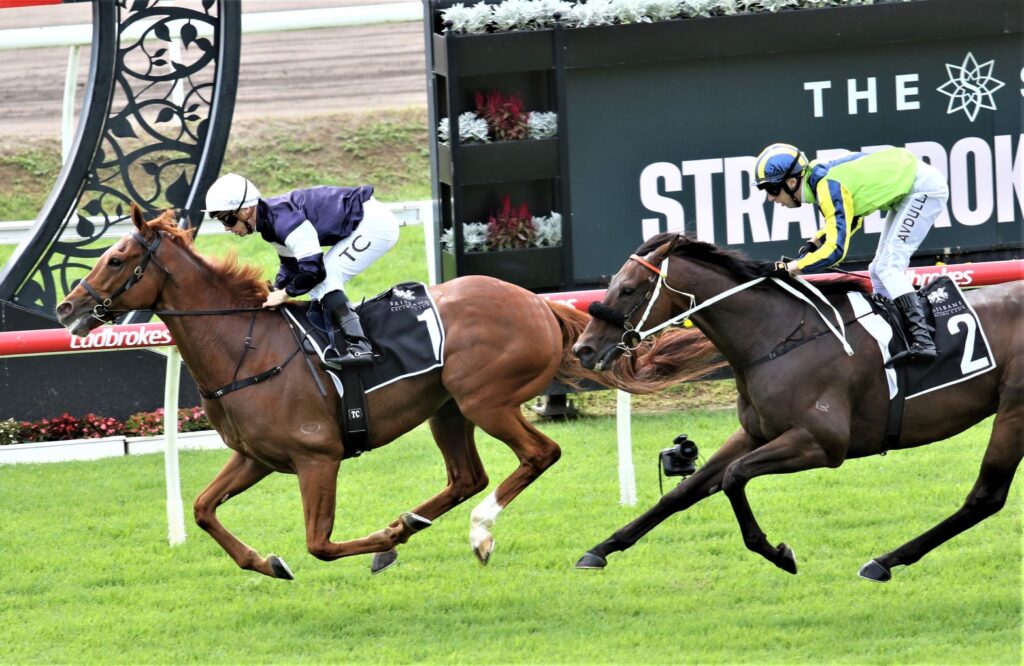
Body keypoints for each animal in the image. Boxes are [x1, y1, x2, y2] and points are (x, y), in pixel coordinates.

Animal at [55, 206, 722, 579]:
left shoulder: (316, 457)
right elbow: (201, 509)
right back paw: (414, 525)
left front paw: (377, 541)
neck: (246, 347)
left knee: (538, 455)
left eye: (117, 258)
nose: (66, 308)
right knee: (467, 477)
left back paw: (475, 532)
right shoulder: (256, 457)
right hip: (447, 409)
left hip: (484, 400)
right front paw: (268, 563)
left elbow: (320, 543)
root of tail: (537, 302)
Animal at [571, 232, 1022, 582]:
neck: (776, 337)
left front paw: (779, 554)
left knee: (985, 496)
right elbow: (684, 491)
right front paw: (600, 549)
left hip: (1014, 409)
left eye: (629, 289)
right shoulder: (754, 433)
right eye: (613, 283)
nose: (583, 349)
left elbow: (734, 477)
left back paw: (883, 561)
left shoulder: (821, 443)